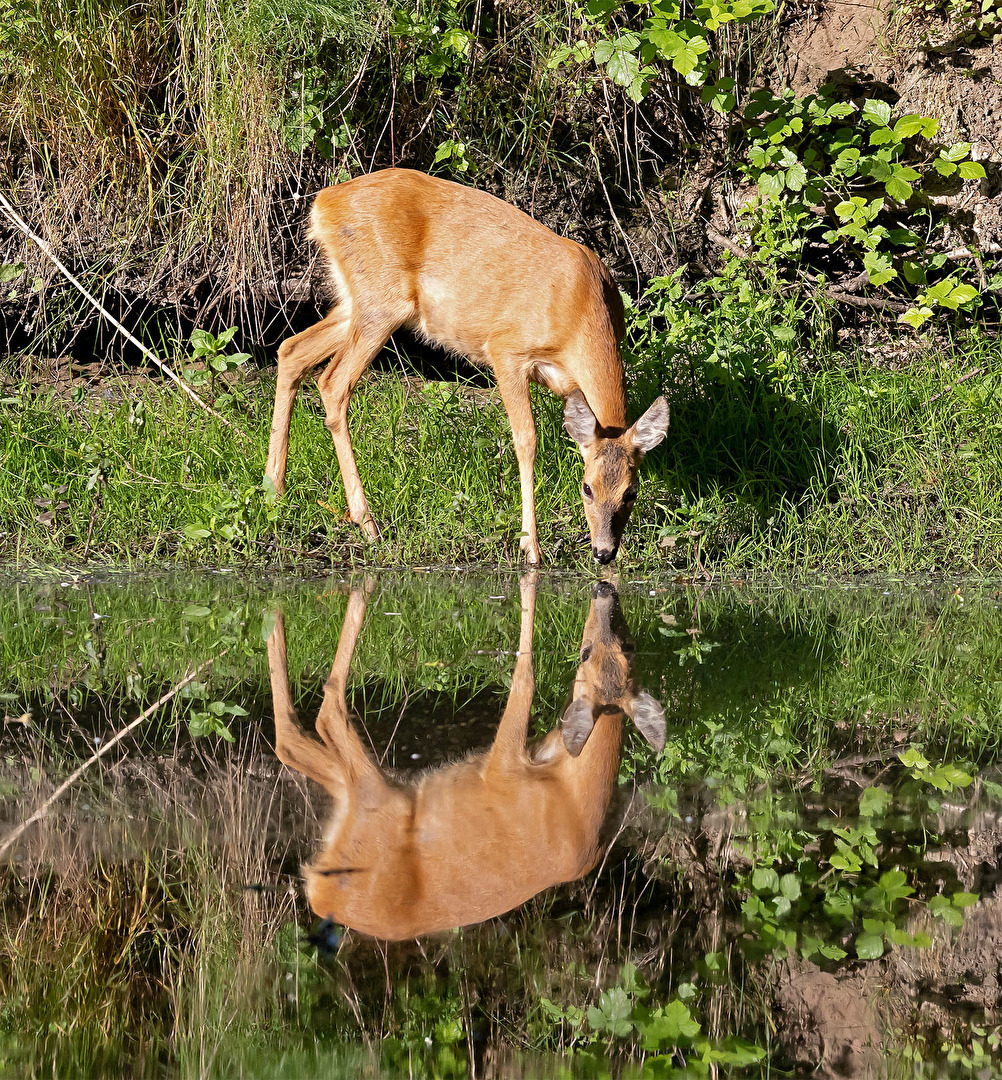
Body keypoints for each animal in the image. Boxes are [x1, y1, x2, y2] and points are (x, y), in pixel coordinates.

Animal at [264, 168, 673, 565]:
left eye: (631, 492)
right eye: (586, 487)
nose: (604, 552)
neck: (579, 313)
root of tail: (324, 203)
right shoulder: (506, 350)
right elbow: (527, 440)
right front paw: (530, 547)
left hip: (356, 303)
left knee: (292, 350)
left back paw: (274, 490)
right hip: (381, 301)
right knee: (333, 382)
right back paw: (366, 522)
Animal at [265, 578, 665, 941]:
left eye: (587, 651)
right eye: (626, 646)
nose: (603, 589)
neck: (573, 796)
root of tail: (321, 894)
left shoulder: (504, 769)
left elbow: (525, 680)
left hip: (377, 807)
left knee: (321, 716)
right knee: (302, 733)